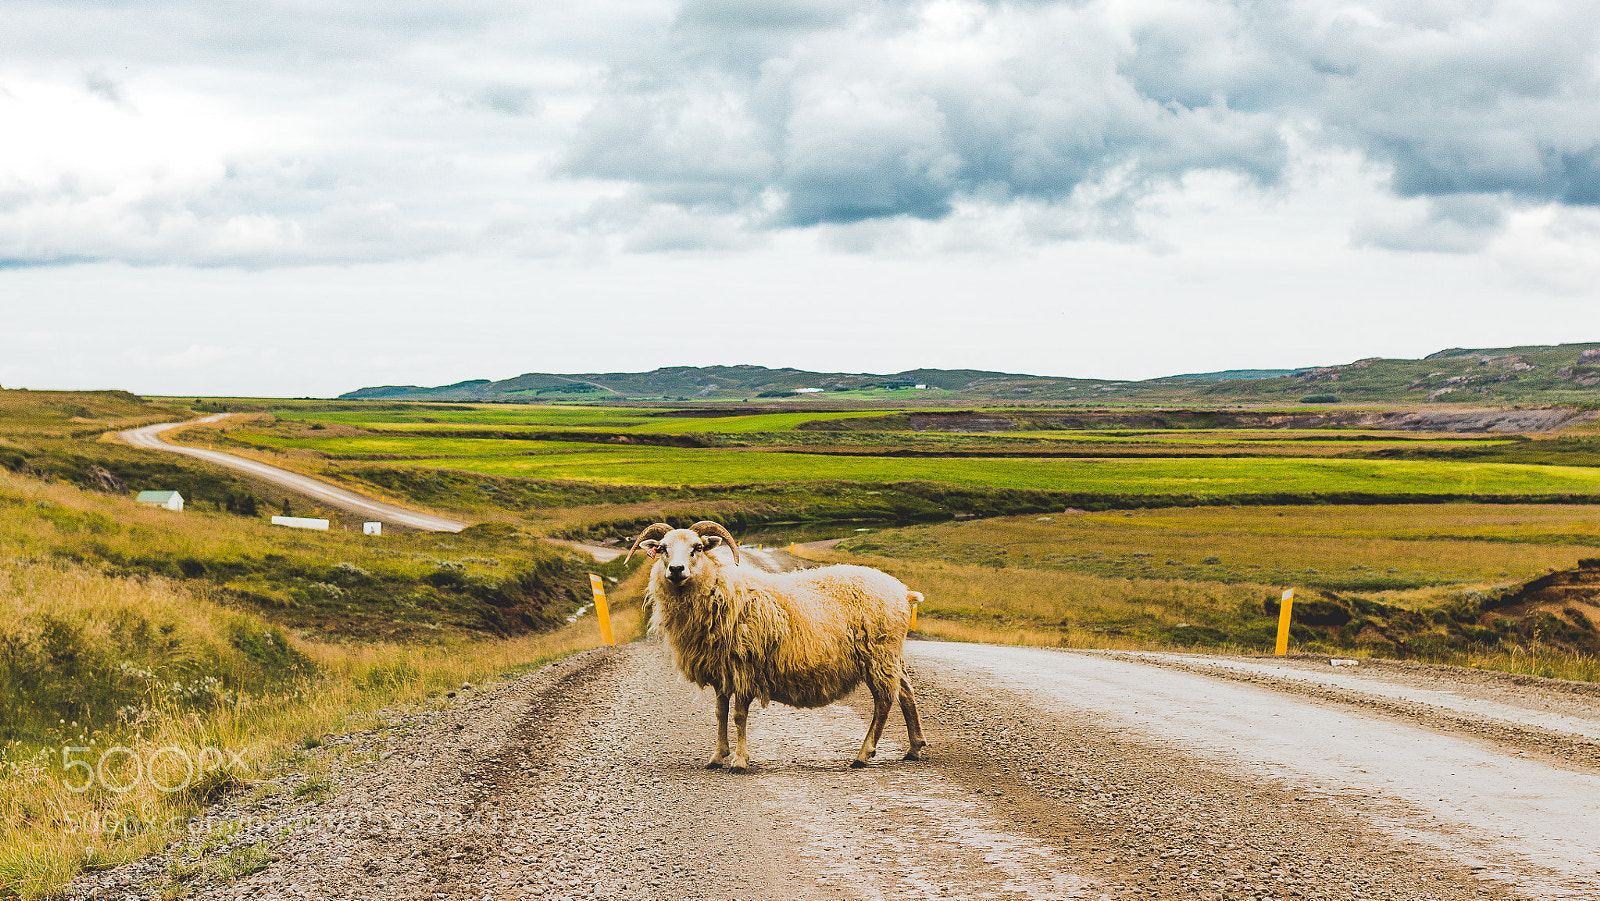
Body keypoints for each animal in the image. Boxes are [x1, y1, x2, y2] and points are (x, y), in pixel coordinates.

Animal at [627, 520, 927, 772]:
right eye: (662, 549)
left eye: (697, 548)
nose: (676, 570)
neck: (723, 590)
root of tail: (902, 591)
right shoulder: (722, 669)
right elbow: (720, 713)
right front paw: (717, 756)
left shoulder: (744, 666)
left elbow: (738, 716)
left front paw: (739, 760)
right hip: (888, 655)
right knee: (906, 691)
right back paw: (914, 747)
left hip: (878, 653)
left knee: (884, 700)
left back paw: (864, 754)